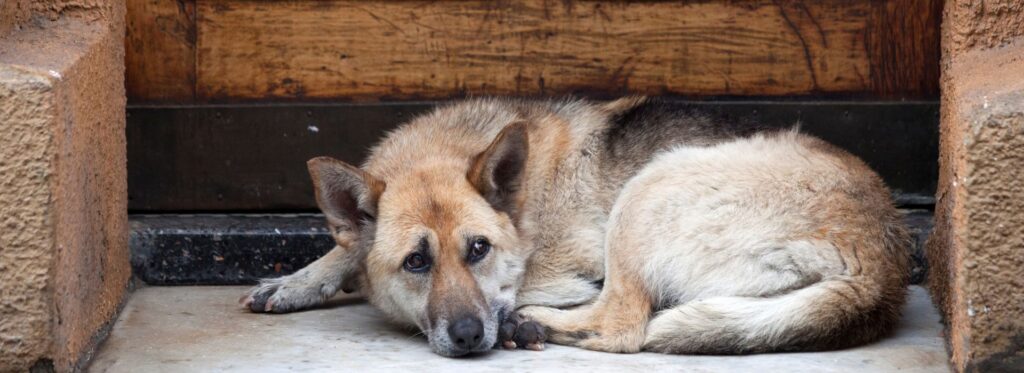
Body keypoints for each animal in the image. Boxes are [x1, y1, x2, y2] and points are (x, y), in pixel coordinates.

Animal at [241, 97, 913, 356]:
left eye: (478, 249)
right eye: (416, 262)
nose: (468, 337)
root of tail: (882, 264)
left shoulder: (556, 269)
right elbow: (346, 248)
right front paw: (298, 280)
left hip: (648, 191)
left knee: (624, 325)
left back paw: (531, 325)